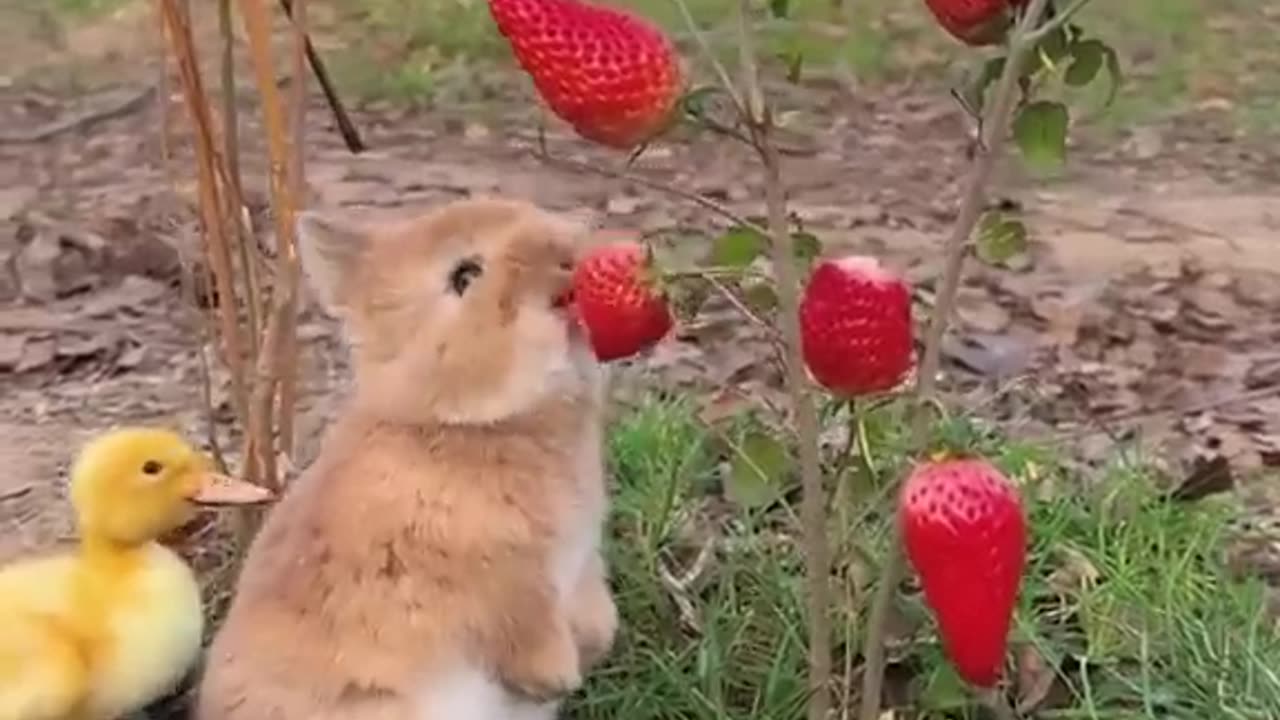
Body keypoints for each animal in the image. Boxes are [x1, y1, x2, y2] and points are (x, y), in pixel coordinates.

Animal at [194, 196, 619, 717]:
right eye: (464, 274)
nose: (567, 256)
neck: (454, 424)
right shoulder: (500, 583)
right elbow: (522, 629)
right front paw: (557, 676)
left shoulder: (578, 562)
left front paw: (595, 643)